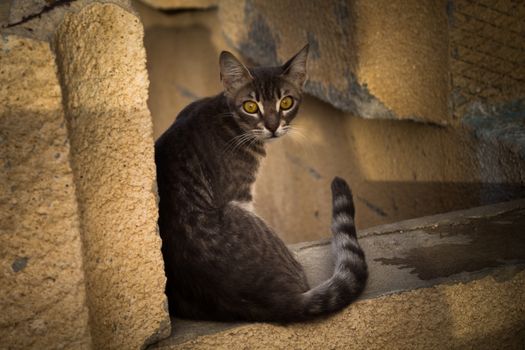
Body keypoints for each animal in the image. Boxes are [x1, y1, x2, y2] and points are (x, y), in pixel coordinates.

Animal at [154, 44, 366, 322]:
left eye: (286, 102)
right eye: (250, 106)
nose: (273, 126)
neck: (229, 120)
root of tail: (279, 302)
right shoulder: (241, 195)